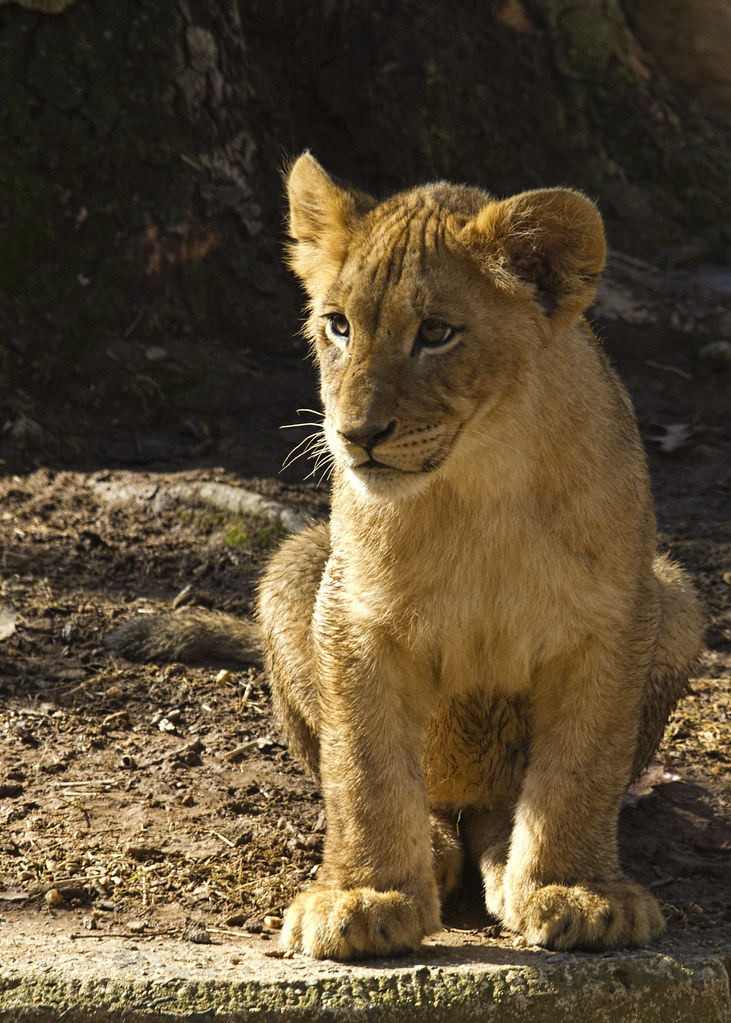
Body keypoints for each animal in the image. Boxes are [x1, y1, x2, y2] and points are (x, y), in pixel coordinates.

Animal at [107, 152, 703, 961]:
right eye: (337, 325)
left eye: (438, 333)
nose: (356, 433)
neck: (481, 482)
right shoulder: (352, 616)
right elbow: (364, 769)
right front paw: (364, 894)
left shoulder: (615, 618)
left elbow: (581, 769)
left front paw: (576, 889)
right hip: (293, 571)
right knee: (411, 796)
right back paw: (435, 847)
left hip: (678, 597)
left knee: (499, 805)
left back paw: (502, 857)